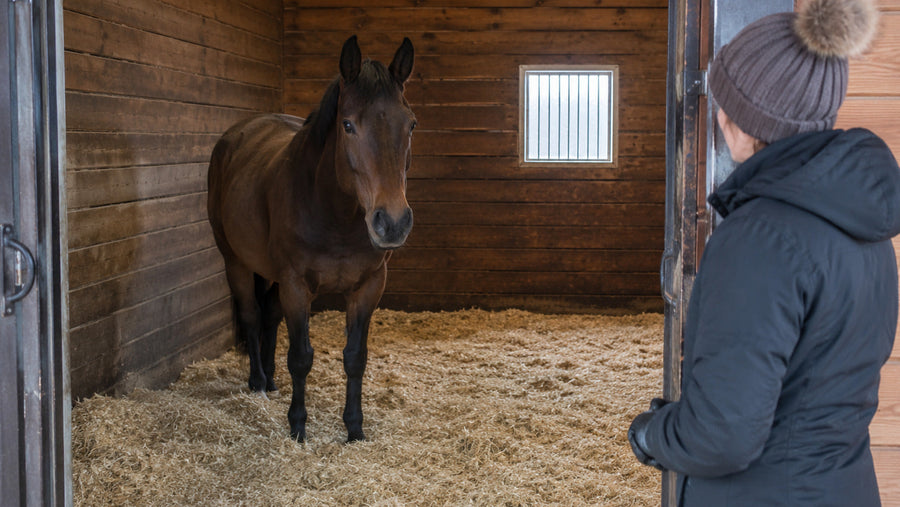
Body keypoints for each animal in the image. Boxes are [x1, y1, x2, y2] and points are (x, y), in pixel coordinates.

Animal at [206, 35, 416, 442]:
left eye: (411, 125)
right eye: (348, 125)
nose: (393, 223)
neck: (334, 213)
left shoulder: (369, 286)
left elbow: (355, 357)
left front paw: (354, 428)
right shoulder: (296, 284)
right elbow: (301, 357)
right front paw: (298, 427)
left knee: (270, 316)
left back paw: (271, 379)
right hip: (235, 262)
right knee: (252, 315)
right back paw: (258, 382)